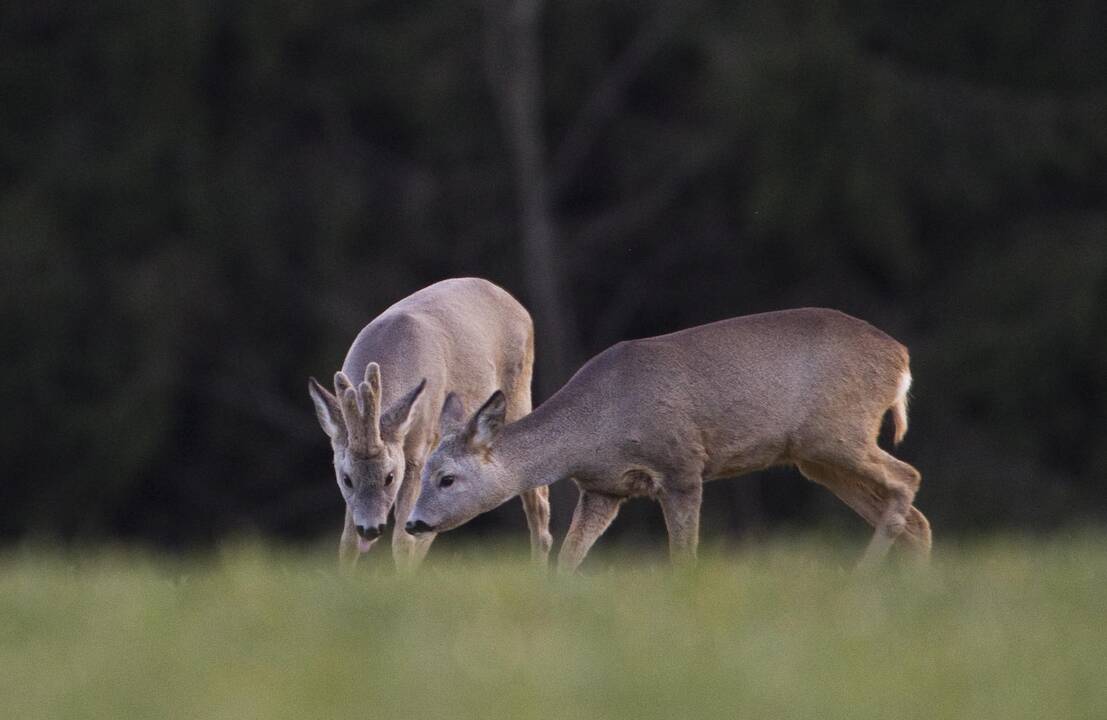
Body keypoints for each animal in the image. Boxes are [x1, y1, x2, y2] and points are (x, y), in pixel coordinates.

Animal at [307, 278, 553, 567]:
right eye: (346, 479)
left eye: (390, 477)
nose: (370, 528)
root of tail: (516, 303)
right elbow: (347, 543)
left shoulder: (418, 451)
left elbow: (402, 540)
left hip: (518, 394)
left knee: (538, 496)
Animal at [405, 307, 925, 571]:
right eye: (425, 473)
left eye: (447, 478)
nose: (412, 523)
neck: (596, 429)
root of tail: (901, 358)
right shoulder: (604, 489)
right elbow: (570, 557)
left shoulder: (681, 465)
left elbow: (684, 554)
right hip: (818, 458)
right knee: (916, 519)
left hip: (838, 432)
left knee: (908, 477)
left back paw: (863, 574)